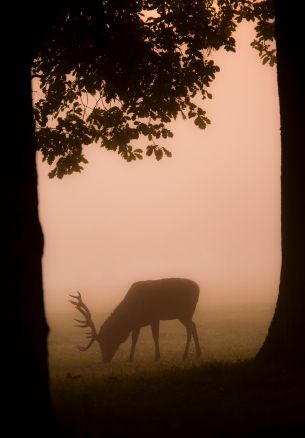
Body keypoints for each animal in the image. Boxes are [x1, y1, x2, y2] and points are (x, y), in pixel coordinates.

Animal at [70, 278, 201, 362]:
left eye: (103, 342)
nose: (105, 359)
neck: (130, 316)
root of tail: (198, 287)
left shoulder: (153, 317)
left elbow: (154, 336)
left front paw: (156, 357)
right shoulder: (138, 323)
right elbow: (135, 339)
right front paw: (132, 357)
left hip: (185, 312)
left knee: (190, 329)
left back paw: (185, 355)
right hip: (186, 314)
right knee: (194, 326)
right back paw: (198, 354)